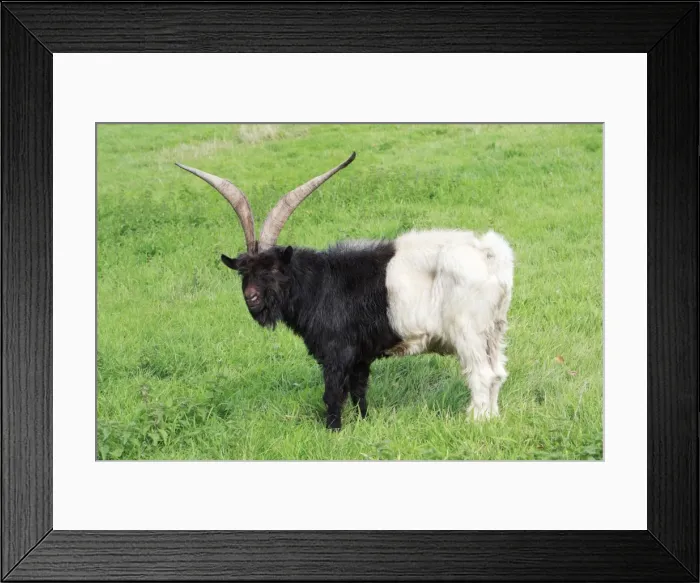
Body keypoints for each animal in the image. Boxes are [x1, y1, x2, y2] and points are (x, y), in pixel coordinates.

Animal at [176, 153, 514, 430]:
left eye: (272, 270)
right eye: (243, 272)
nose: (252, 297)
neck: (317, 283)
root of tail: (490, 254)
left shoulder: (336, 350)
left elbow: (333, 392)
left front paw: (333, 430)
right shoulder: (361, 354)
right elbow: (359, 390)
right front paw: (363, 422)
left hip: (468, 332)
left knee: (481, 375)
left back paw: (475, 422)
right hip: (495, 330)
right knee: (497, 373)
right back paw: (494, 419)